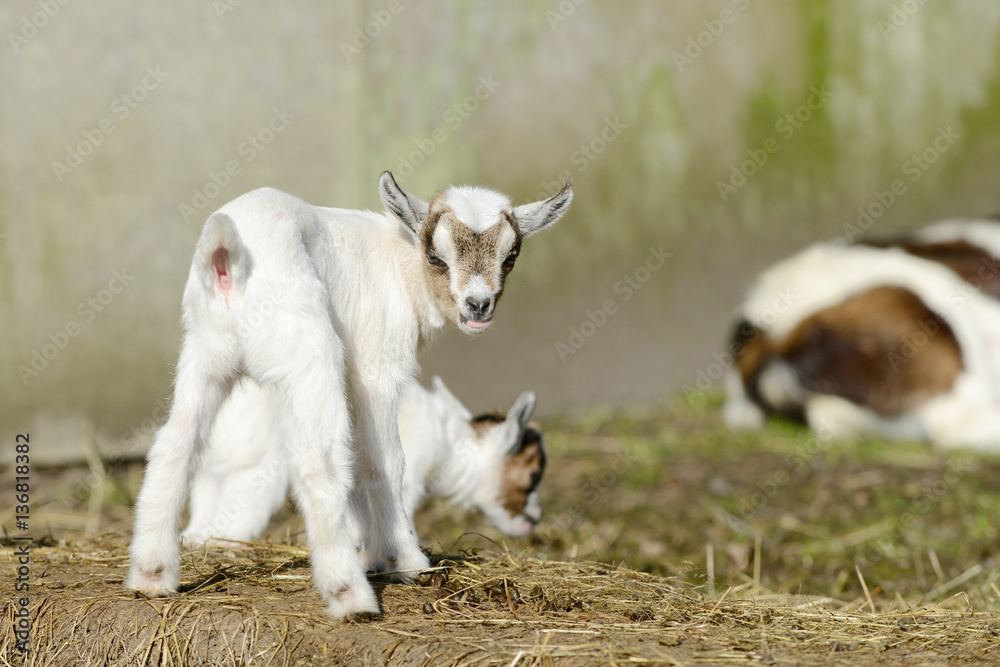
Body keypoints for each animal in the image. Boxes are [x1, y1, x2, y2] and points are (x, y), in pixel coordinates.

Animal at [181, 376, 545, 545]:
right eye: (532, 476)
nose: (537, 515)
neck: (449, 439)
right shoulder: (403, 482)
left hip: (213, 471)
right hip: (256, 473)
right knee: (231, 523)